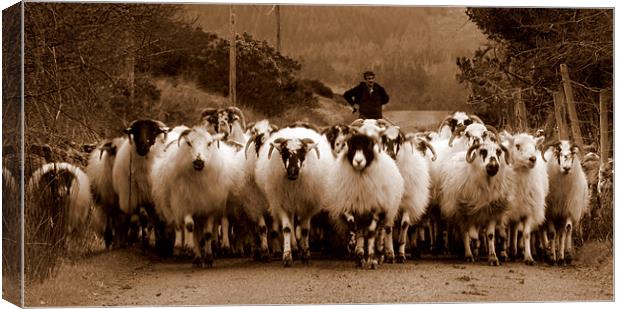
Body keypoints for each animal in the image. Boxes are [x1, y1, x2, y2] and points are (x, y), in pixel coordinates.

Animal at [111, 119, 170, 251]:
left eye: (153, 131)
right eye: (135, 131)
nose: (142, 146)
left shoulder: (155, 199)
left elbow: (159, 220)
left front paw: (161, 243)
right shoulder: (140, 196)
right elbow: (144, 218)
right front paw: (145, 243)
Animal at [149, 126, 241, 266]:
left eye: (209, 143)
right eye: (189, 143)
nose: (199, 161)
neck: (199, 181)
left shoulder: (209, 209)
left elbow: (208, 233)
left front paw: (209, 257)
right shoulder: (187, 205)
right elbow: (190, 227)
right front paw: (195, 255)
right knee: (185, 228)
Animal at [256, 125, 334, 264]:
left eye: (303, 152)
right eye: (283, 153)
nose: (292, 171)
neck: (294, 184)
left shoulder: (308, 205)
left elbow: (305, 230)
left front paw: (306, 254)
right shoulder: (281, 203)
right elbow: (287, 229)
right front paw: (287, 256)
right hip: (289, 203)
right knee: (292, 225)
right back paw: (295, 247)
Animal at [322, 129, 404, 268]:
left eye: (369, 146)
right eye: (350, 145)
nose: (359, 161)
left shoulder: (376, 208)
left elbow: (371, 233)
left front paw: (371, 259)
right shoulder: (350, 205)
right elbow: (353, 226)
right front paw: (357, 251)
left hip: (386, 213)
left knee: (379, 234)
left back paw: (379, 255)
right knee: (361, 231)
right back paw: (360, 255)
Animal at [498, 131, 548, 264]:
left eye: (535, 146)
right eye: (517, 146)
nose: (533, 159)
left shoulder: (529, 210)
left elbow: (526, 234)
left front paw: (528, 257)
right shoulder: (503, 212)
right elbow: (503, 233)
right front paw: (503, 254)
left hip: (519, 209)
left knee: (514, 228)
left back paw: (513, 251)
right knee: (510, 229)